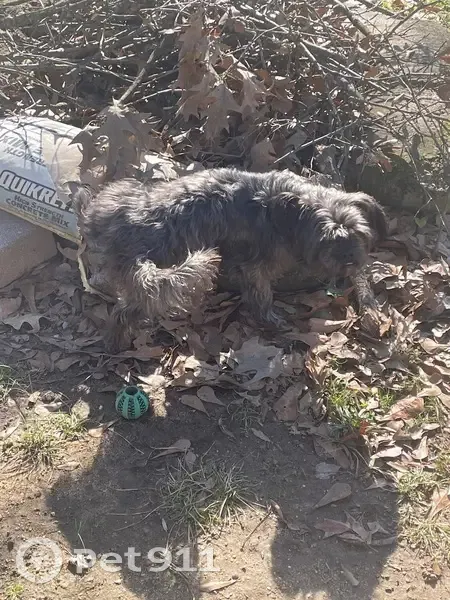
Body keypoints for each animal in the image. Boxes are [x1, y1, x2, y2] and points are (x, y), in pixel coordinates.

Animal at [72, 168, 387, 352]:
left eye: (358, 233)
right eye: (327, 238)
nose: (350, 261)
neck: (287, 211)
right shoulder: (257, 265)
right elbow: (261, 295)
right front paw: (271, 320)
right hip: (153, 281)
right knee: (124, 311)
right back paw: (116, 343)